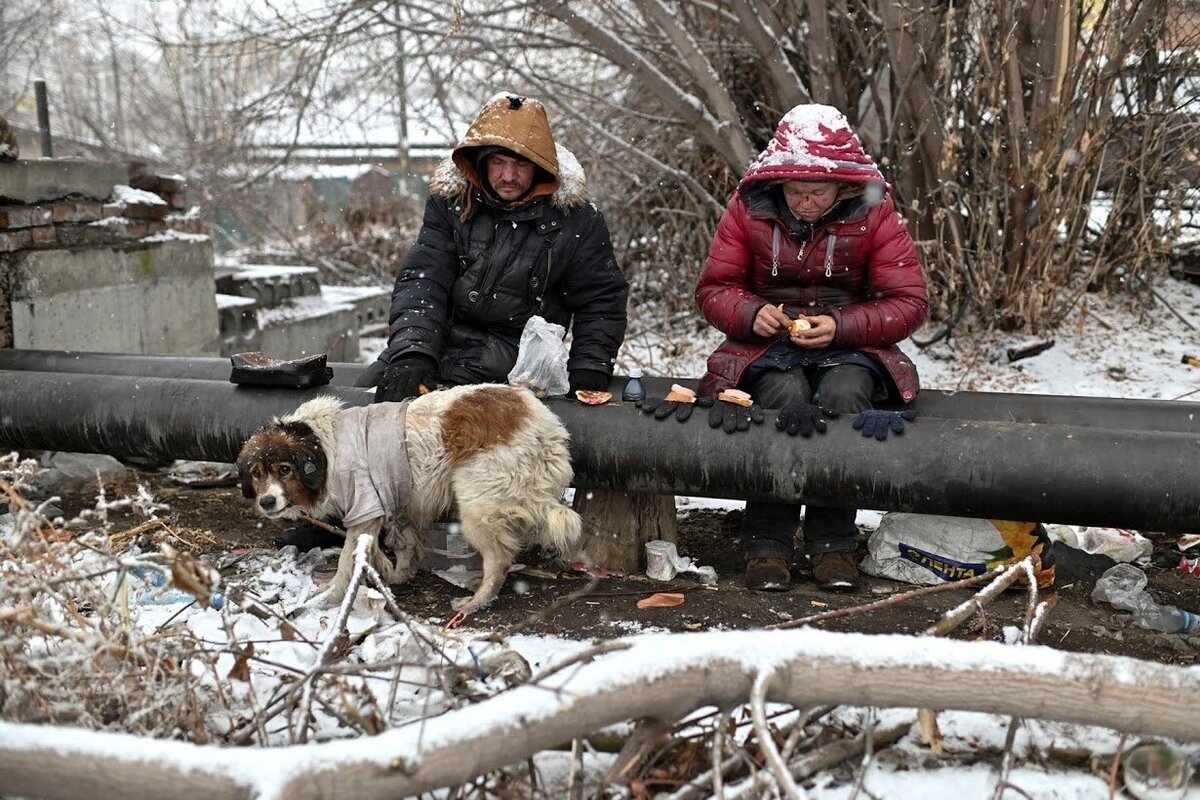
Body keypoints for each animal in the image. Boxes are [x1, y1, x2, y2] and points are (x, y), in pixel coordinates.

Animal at [234, 383, 580, 623]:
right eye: (257, 473)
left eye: (285, 470)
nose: (266, 501)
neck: (322, 445)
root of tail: (542, 422)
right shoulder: (393, 505)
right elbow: (396, 545)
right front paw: (395, 572)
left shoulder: (364, 507)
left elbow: (348, 560)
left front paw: (331, 596)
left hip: (477, 507)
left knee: (499, 560)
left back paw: (475, 601)